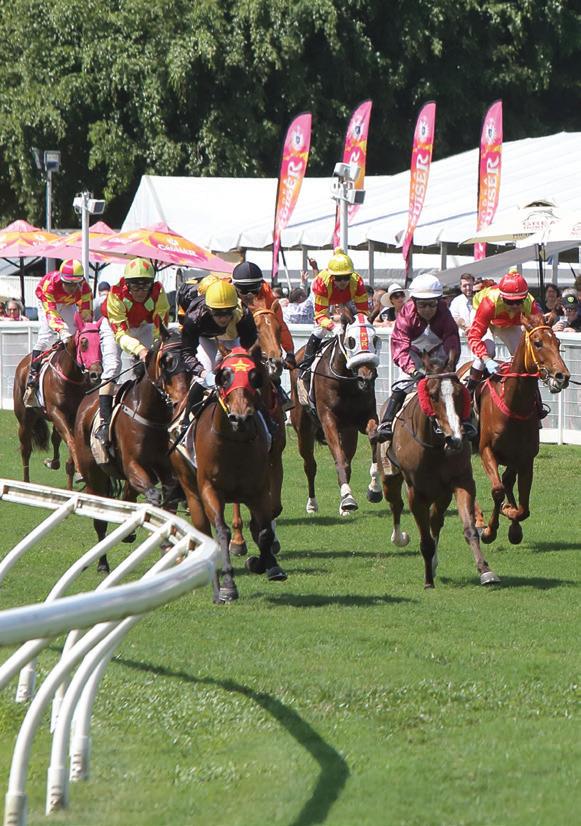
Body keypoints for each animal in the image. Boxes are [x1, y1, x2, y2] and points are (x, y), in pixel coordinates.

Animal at [13, 318, 103, 489]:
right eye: (84, 342)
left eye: (100, 342)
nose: (96, 373)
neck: (70, 377)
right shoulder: (56, 412)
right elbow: (71, 442)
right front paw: (80, 472)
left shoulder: (74, 416)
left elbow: (70, 451)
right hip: (25, 418)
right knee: (25, 449)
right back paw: (26, 482)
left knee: (55, 438)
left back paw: (53, 462)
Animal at [74, 328, 187, 572]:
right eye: (166, 361)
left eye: (191, 359)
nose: (180, 401)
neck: (150, 413)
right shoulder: (133, 465)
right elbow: (154, 496)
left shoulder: (164, 468)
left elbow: (169, 495)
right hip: (93, 474)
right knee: (100, 518)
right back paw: (103, 563)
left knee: (128, 496)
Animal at [289, 313, 383, 516]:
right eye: (351, 341)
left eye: (375, 340)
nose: (366, 378)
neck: (347, 382)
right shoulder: (328, 420)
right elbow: (338, 458)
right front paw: (347, 498)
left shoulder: (364, 417)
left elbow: (373, 437)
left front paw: (374, 489)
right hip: (303, 429)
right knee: (310, 465)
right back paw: (312, 504)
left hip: (348, 432)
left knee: (348, 461)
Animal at [381, 352, 499, 589]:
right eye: (433, 395)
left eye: (460, 394)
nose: (455, 438)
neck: (435, 446)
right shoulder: (416, 493)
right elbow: (425, 539)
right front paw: (428, 582)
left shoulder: (460, 481)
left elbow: (469, 529)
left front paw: (485, 571)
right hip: (390, 473)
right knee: (395, 504)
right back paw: (399, 538)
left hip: (441, 492)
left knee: (435, 520)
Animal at [462, 314, 570, 545]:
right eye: (537, 343)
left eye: (557, 343)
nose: (562, 376)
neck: (513, 405)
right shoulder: (486, 450)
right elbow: (497, 490)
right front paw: (490, 530)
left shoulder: (524, 457)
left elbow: (522, 507)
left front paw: (512, 519)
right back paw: (478, 520)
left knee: (507, 481)